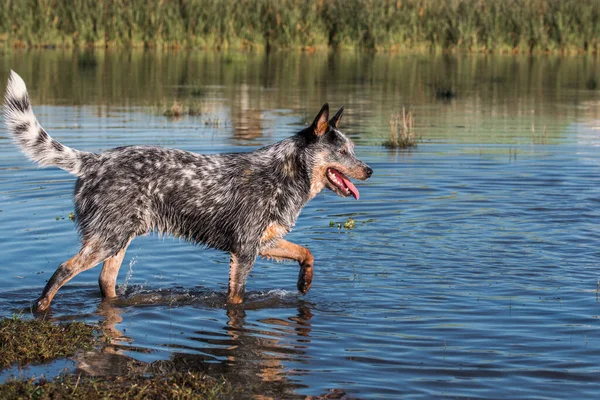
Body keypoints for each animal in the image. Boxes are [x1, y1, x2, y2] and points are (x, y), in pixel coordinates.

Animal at [3, 70, 370, 310]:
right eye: (342, 151)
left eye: (352, 148)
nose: (369, 169)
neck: (285, 173)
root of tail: (93, 160)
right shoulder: (244, 252)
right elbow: (236, 298)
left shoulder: (263, 241)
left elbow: (306, 252)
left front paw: (304, 281)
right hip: (107, 240)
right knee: (63, 270)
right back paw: (40, 308)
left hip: (117, 239)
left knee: (105, 282)